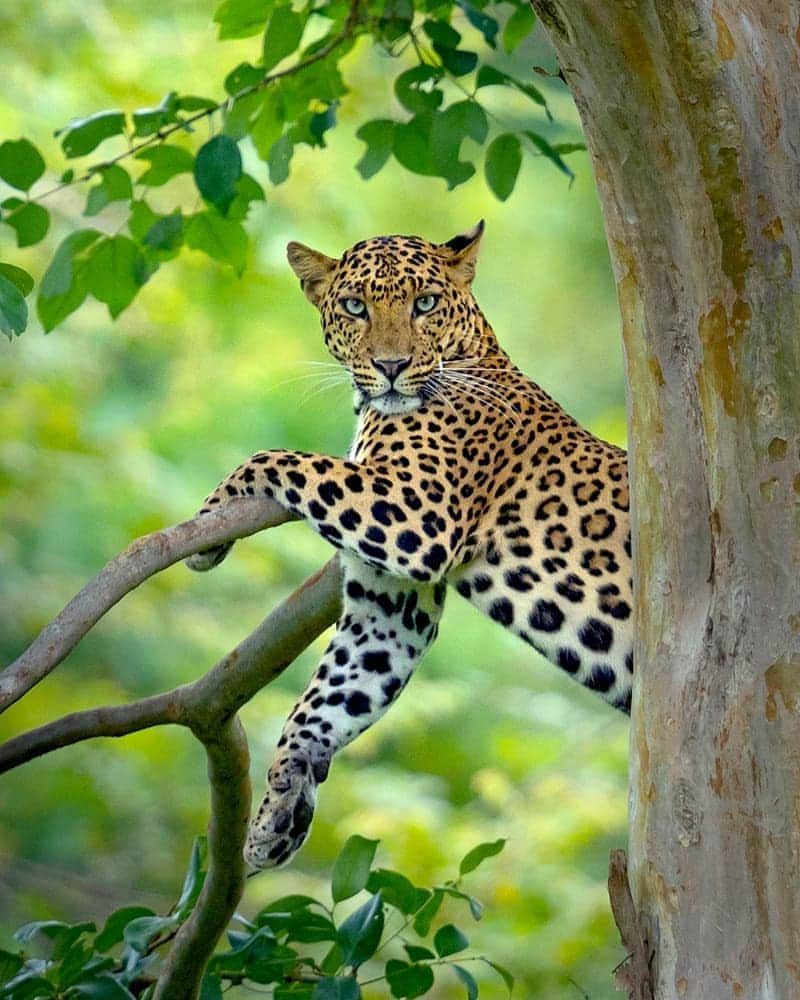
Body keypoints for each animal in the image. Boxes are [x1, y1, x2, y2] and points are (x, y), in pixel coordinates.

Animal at [187, 221, 632, 869]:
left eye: (424, 303)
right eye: (355, 307)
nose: (391, 365)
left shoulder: (419, 514)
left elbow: (282, 458)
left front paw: (207, 523)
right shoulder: (390, 606)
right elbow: (330, 696)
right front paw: (278, 813)